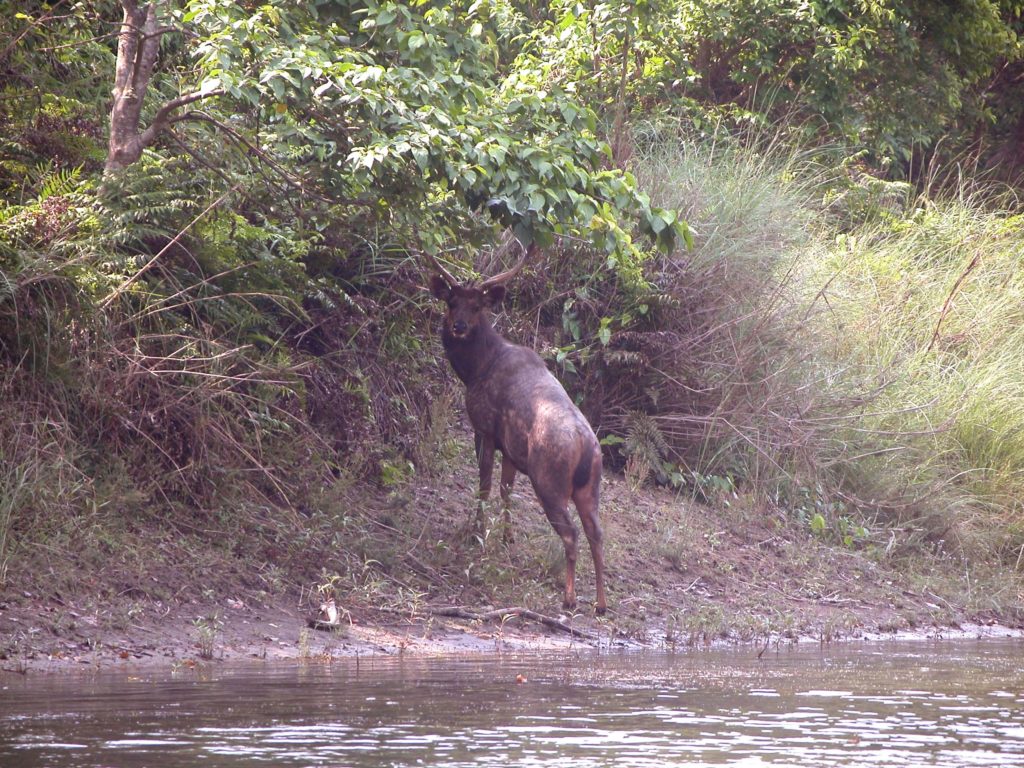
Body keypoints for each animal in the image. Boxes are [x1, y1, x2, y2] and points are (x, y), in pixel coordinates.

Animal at [425, 246, 606, 618]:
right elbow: (506, 490)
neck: (476, 369)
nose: (459, 326)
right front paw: (506, 537)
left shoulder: (483, 427)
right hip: (591, 486)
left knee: (571, 533)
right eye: (452, 301)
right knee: (597, 533)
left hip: (549, 479)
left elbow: (484, 485)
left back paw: (569, 598)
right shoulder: (510, 448)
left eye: (477, 306)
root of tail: (586, 447)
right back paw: (600, 603)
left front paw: (476, 532)